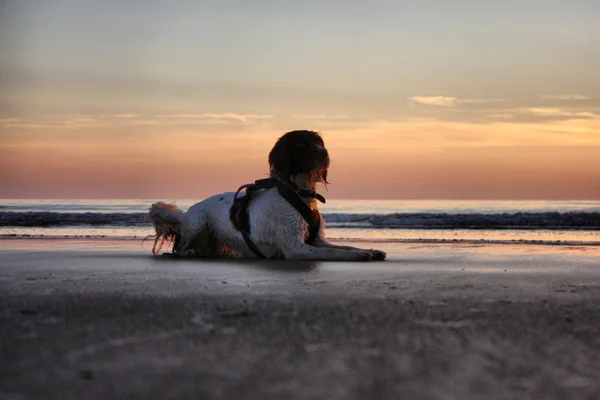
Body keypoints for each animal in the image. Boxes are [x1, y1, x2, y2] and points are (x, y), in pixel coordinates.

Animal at [148, 131, 386, 260]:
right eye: (301, 144)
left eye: (319, 142)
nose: (324, 152)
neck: (298, 192)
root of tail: (188, 212)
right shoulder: (295, 247)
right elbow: (334, 253)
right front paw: (358, 255)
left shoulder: (317, 240)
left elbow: (343, 246)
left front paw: (370, 249)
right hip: (197, 222)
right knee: (178, 248)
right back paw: (189, 252)